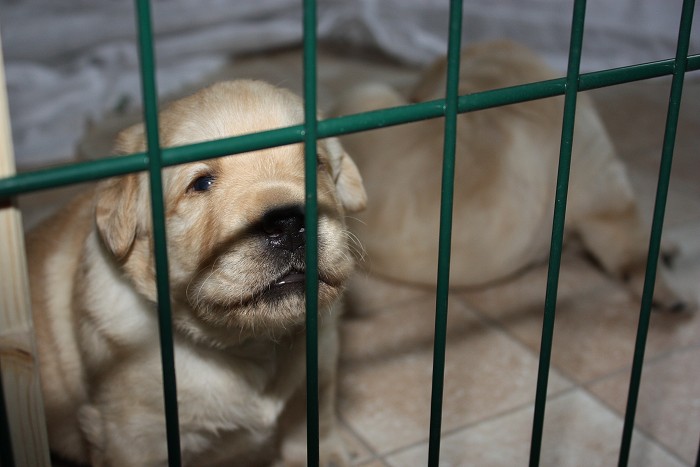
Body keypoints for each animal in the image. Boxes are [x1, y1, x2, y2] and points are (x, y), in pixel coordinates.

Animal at [27, 80, 366, 466]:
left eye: (316, 163)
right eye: (201, 183)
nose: (289, 224)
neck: (252, 344)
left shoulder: (318, 377)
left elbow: (316, 432)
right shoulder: (130, 440)